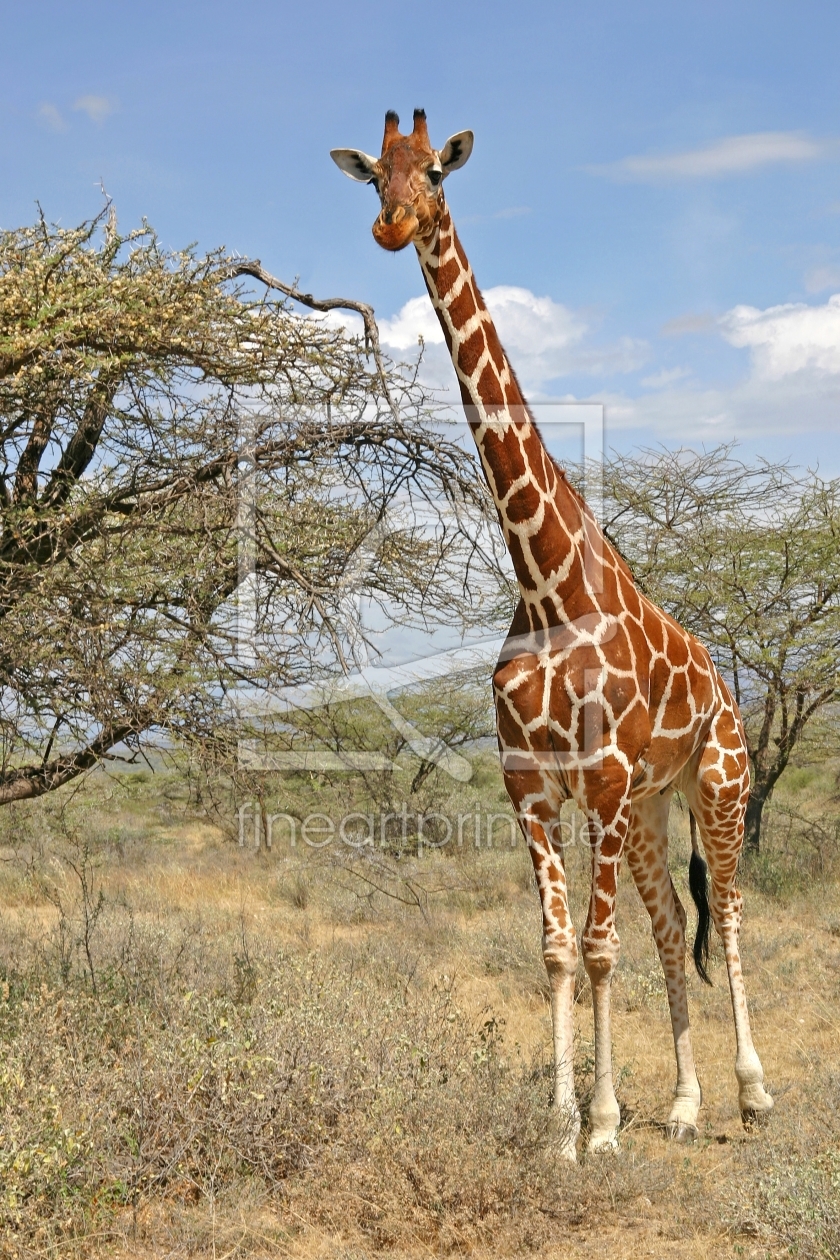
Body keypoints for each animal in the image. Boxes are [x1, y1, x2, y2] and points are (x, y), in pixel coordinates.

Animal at [329, 110, 775, 1159]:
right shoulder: (531, 784)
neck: (543, 583)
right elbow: (561, 949)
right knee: (673, 927)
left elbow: (603, 949)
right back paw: (686, 1108)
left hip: (717, 781)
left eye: (435, 175)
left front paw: (603, 1129)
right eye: (373, 177)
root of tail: (724, 680)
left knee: (732, 916)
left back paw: (751, 1094)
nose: (391, 227)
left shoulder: (601, 778)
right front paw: (559, 1130)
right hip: (652, 809)